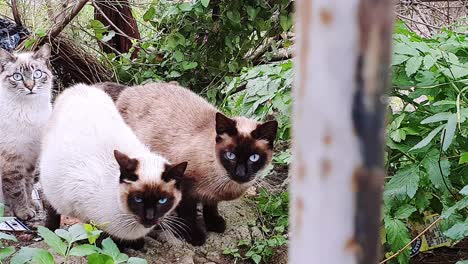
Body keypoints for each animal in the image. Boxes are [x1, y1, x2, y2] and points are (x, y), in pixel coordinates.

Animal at [39, 83, 186, 249]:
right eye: (138, 199)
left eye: (162, 200)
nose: (149, 218)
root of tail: (79, 87)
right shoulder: (83, 209)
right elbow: (96, 237)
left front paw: (136, 244)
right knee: (50, 205)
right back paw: (50, 230)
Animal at [97, 82, 276, 245]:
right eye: (230, 155)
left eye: (254, 157)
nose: (240, 173)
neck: (222, 180)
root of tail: (131, 88)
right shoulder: (184, 188)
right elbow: (188, 215)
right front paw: (195, 236)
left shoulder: (210, 195)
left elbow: (211, 206)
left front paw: (214, 223)